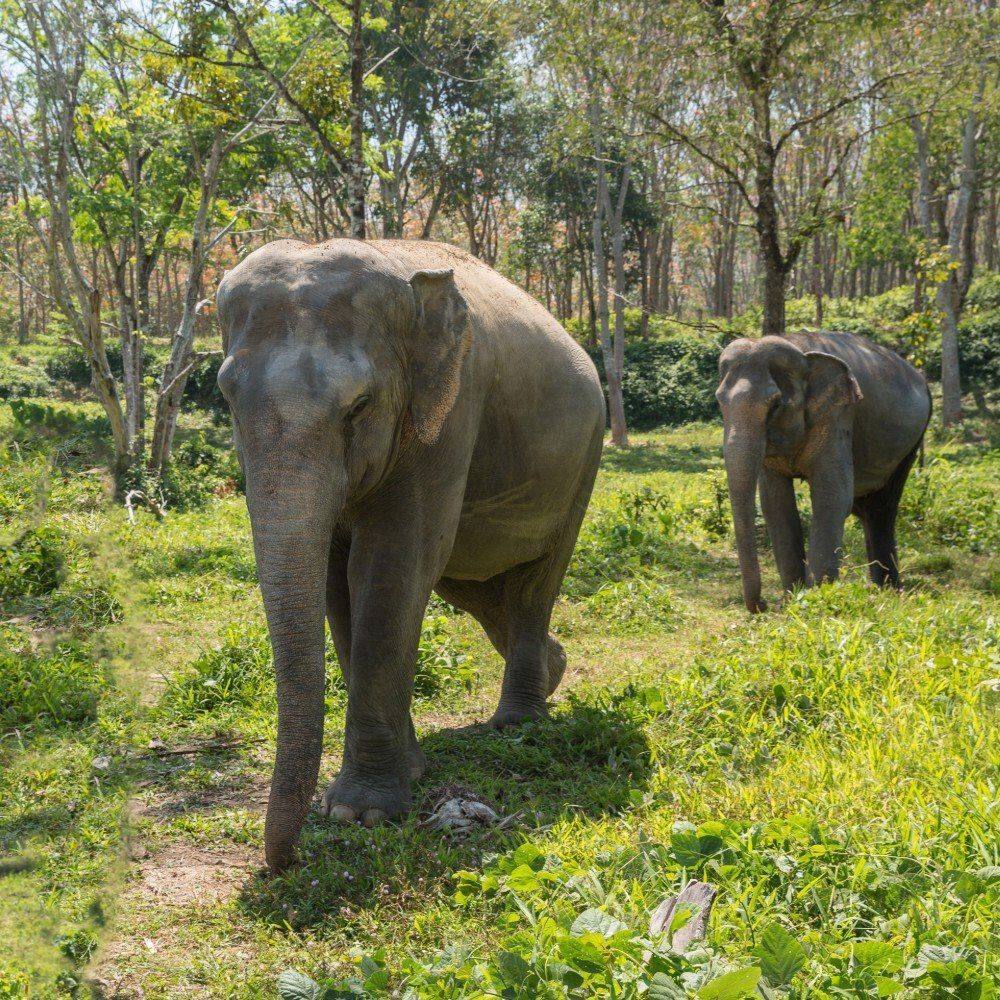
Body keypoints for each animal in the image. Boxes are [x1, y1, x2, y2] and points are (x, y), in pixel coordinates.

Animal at [215, 238, 605, 871]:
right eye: (226, 396)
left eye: (359, 405)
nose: (285, 861)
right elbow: (337, 581)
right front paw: (407, 774)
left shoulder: (448, 414)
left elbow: (392, 564)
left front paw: (362, 812)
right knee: (474, 586)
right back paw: (555, 669)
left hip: (584, 461)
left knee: (532, 585)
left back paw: (517, 723)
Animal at [715, 332, 931, 613]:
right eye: (719, 402)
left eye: (776, 405)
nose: (763, 604)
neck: (800, 351)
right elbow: (776, 504)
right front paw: (792, 597)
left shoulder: (838, 415)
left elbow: (832, 497)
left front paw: (814, 597)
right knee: (867, 508)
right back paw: (881, 590)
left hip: (910, 444)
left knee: (883, 507)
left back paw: (889, 592)